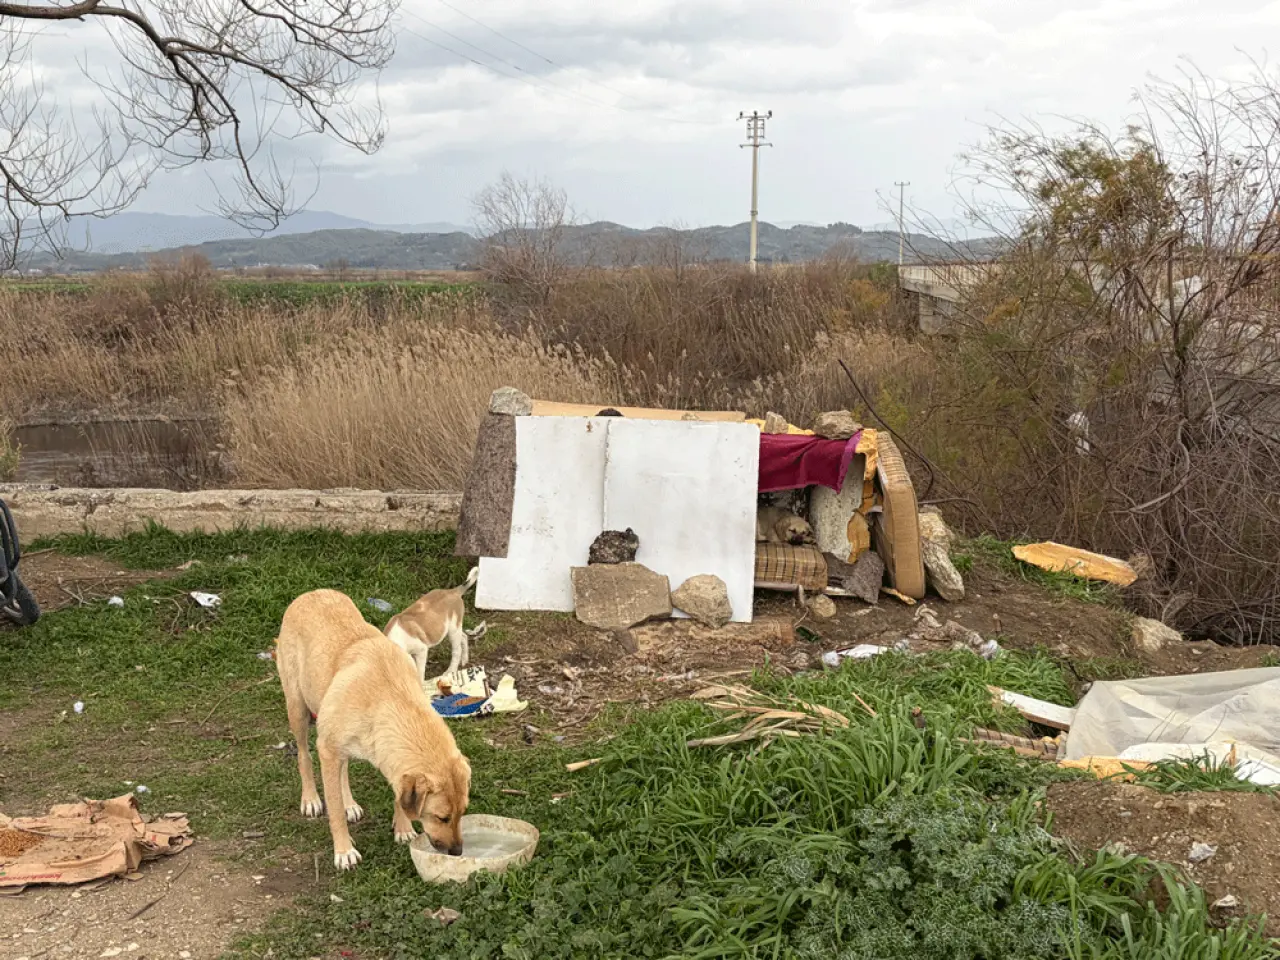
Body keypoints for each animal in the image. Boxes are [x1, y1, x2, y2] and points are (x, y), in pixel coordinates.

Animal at [274, 589, 471, 870]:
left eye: (463, 812)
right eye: (441, 817)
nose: (457, 852)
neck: (392, 696)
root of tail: (311, 593)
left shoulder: (391, 761)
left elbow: (397, 792)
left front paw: (403, 828)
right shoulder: (328, 749)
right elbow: (334, 809)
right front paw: (344, 851)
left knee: (342, 771)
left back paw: (350, 804)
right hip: (297, 710)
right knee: (304, 755)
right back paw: (310, 799)